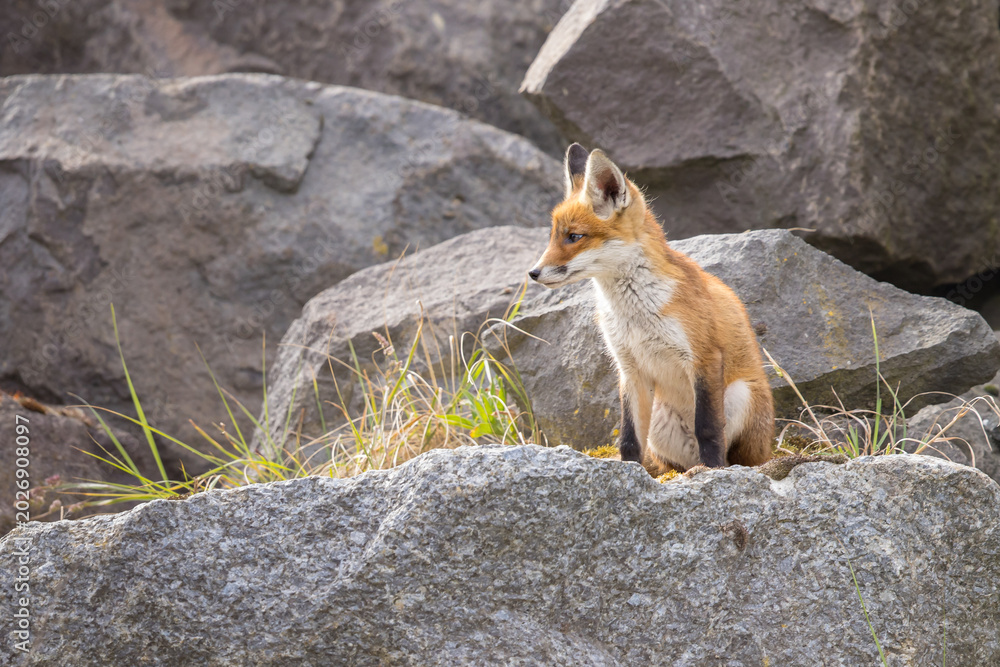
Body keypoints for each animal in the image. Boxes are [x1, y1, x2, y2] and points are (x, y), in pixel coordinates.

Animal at [528, 143, 773, 472]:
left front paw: (713, 471)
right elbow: (629, 438)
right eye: (554, 236)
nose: (533, 273)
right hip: (660, 417)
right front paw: (630, 471)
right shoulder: (629, 369)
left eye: (574, 236)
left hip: (740, 395)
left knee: (734, 453)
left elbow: (708, 428)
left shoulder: (703, 357)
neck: (635, 314)